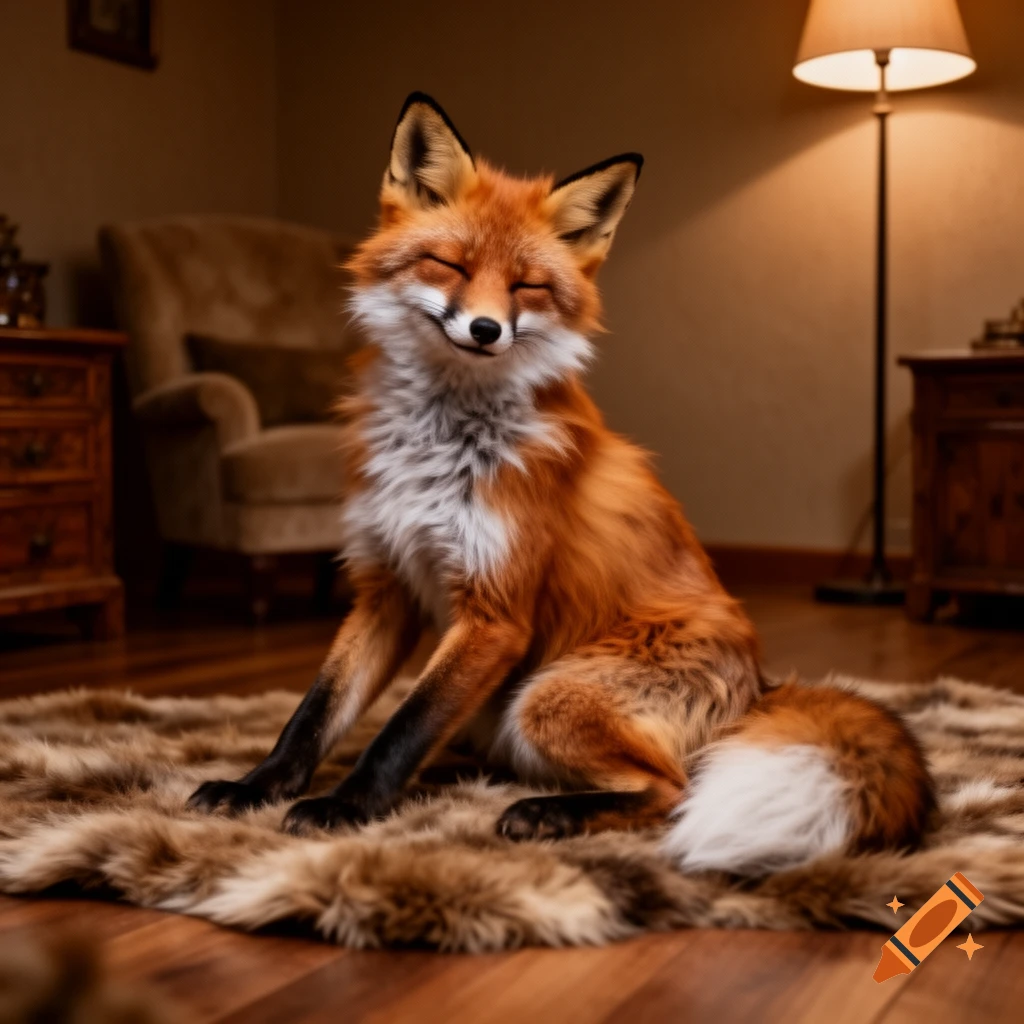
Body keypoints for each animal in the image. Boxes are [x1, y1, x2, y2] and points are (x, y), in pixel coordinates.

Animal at [189, 92, 933, 874]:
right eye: (450, 265)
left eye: (527, 286)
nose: (486, 329)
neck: (442, 444)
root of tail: (760, 688)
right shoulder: (385, 590)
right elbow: (314, 714)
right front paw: (257, 788)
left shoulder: (495, 612)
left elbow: (402, 727)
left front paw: (347, 807)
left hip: (544, 699)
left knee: (672, 788)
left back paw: (546, 813)